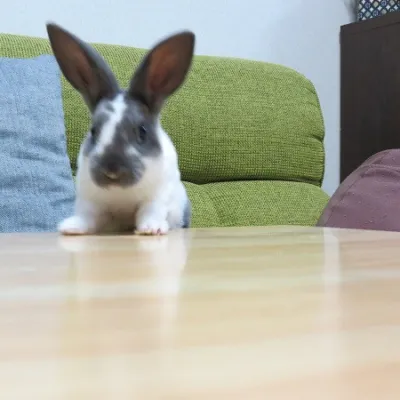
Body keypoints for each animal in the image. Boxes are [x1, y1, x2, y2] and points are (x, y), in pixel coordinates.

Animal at [46, 23, 195, 236]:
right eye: (94, 131)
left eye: (142, 131)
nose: (112, 168)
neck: (120, 193)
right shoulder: (90, 201)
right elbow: (87, 216)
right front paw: (71, 227)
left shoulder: (157, 197)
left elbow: (149, 211)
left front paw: (151, 229)